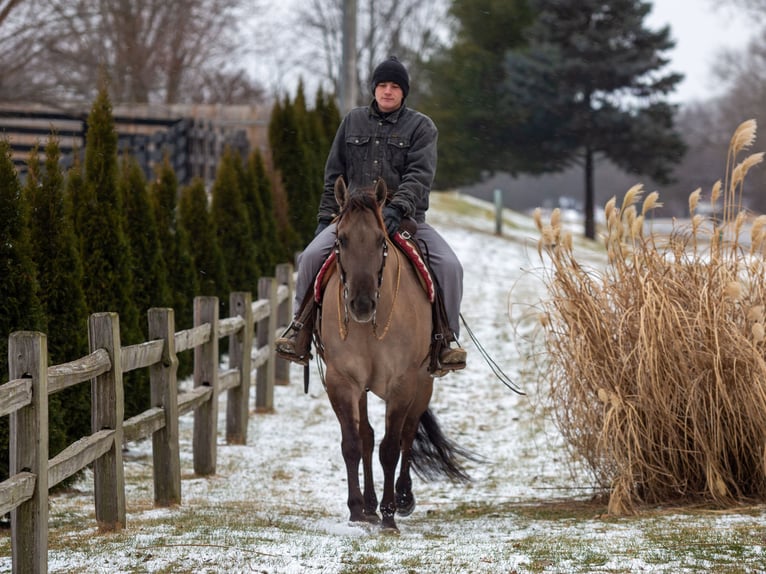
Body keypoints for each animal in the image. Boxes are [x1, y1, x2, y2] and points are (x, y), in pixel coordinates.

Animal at [318, 176, 473, 531]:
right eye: (341, 239)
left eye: (380, 240)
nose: (361, 305)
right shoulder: (342, 381)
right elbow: (353, 444)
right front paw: (357, 510)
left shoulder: (402, 384)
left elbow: (391, 447)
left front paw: (389, 515)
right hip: (363, 388)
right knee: (367, 436)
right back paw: (370, 505)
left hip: (423, 384)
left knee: (407, 434)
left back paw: (402, 498)